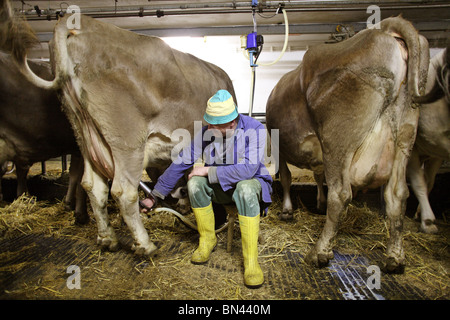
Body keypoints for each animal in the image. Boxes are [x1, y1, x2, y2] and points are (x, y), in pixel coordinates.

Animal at [0, 6, 236, 256]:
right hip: (127, 142)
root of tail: (77, 23)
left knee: (92, 186)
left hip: (85, 136)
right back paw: (144, 244)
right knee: (124, 191)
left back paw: (107, 238)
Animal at [268, 16, 428, 272]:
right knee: (398, 194)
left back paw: (319, 252)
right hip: (405, 135)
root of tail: (385, 28)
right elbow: (316, 176)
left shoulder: (278, 145)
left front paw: (287, 211)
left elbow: (286, 177)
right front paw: (317, 203)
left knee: (341, 194)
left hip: (338, 139)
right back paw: (395, 257)